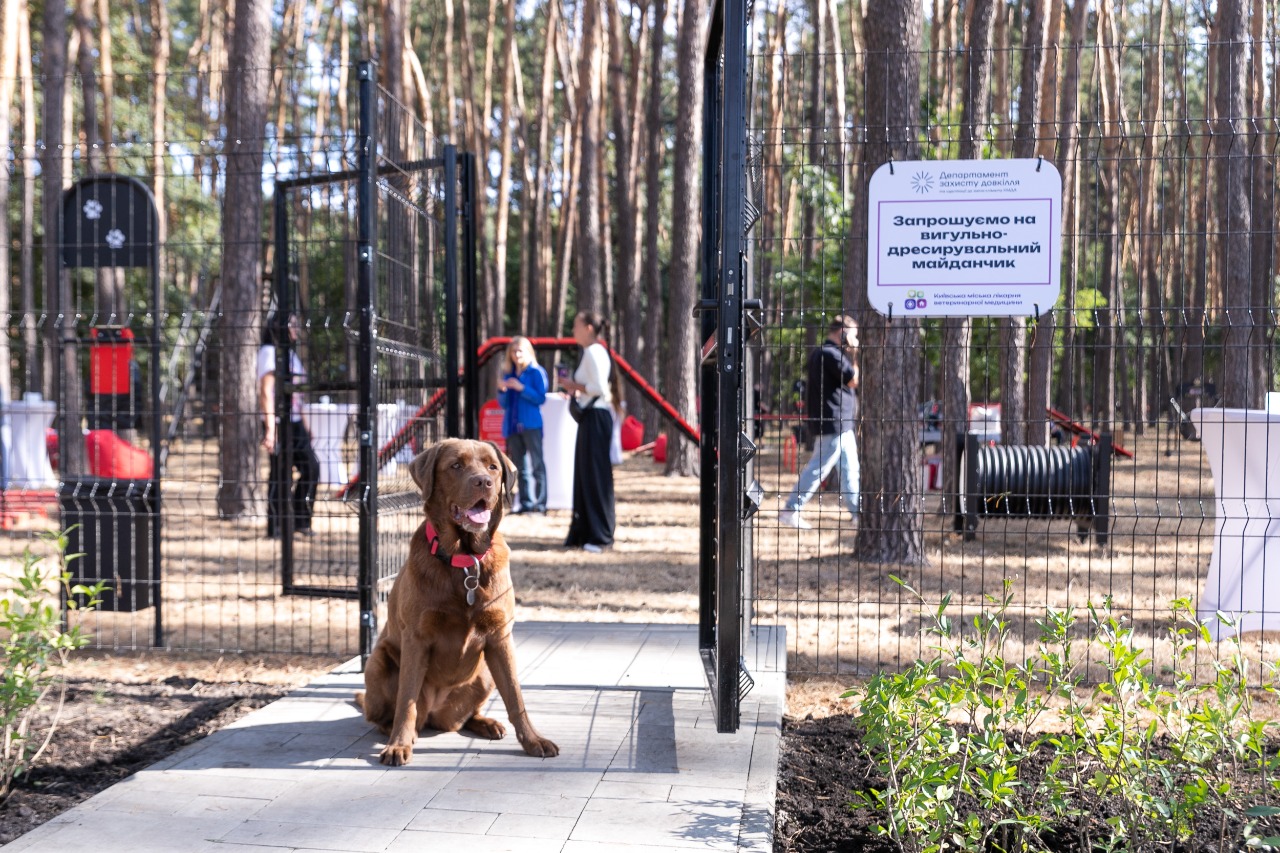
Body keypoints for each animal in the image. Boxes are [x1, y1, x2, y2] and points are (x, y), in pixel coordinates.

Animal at [360, 435, 560, 758]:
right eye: (455, 466)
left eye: (493, 467)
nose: (484, 482)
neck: (465, 560)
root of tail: (437, 714)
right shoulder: (416, 638)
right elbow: (407, 700)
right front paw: (398, 744)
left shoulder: (501, 637)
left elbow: (515, 697)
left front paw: (533, 740)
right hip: (377, 662)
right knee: (384, 714)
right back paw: (399, 732)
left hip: (486, 672)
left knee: (469, 715)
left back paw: (487, 723)